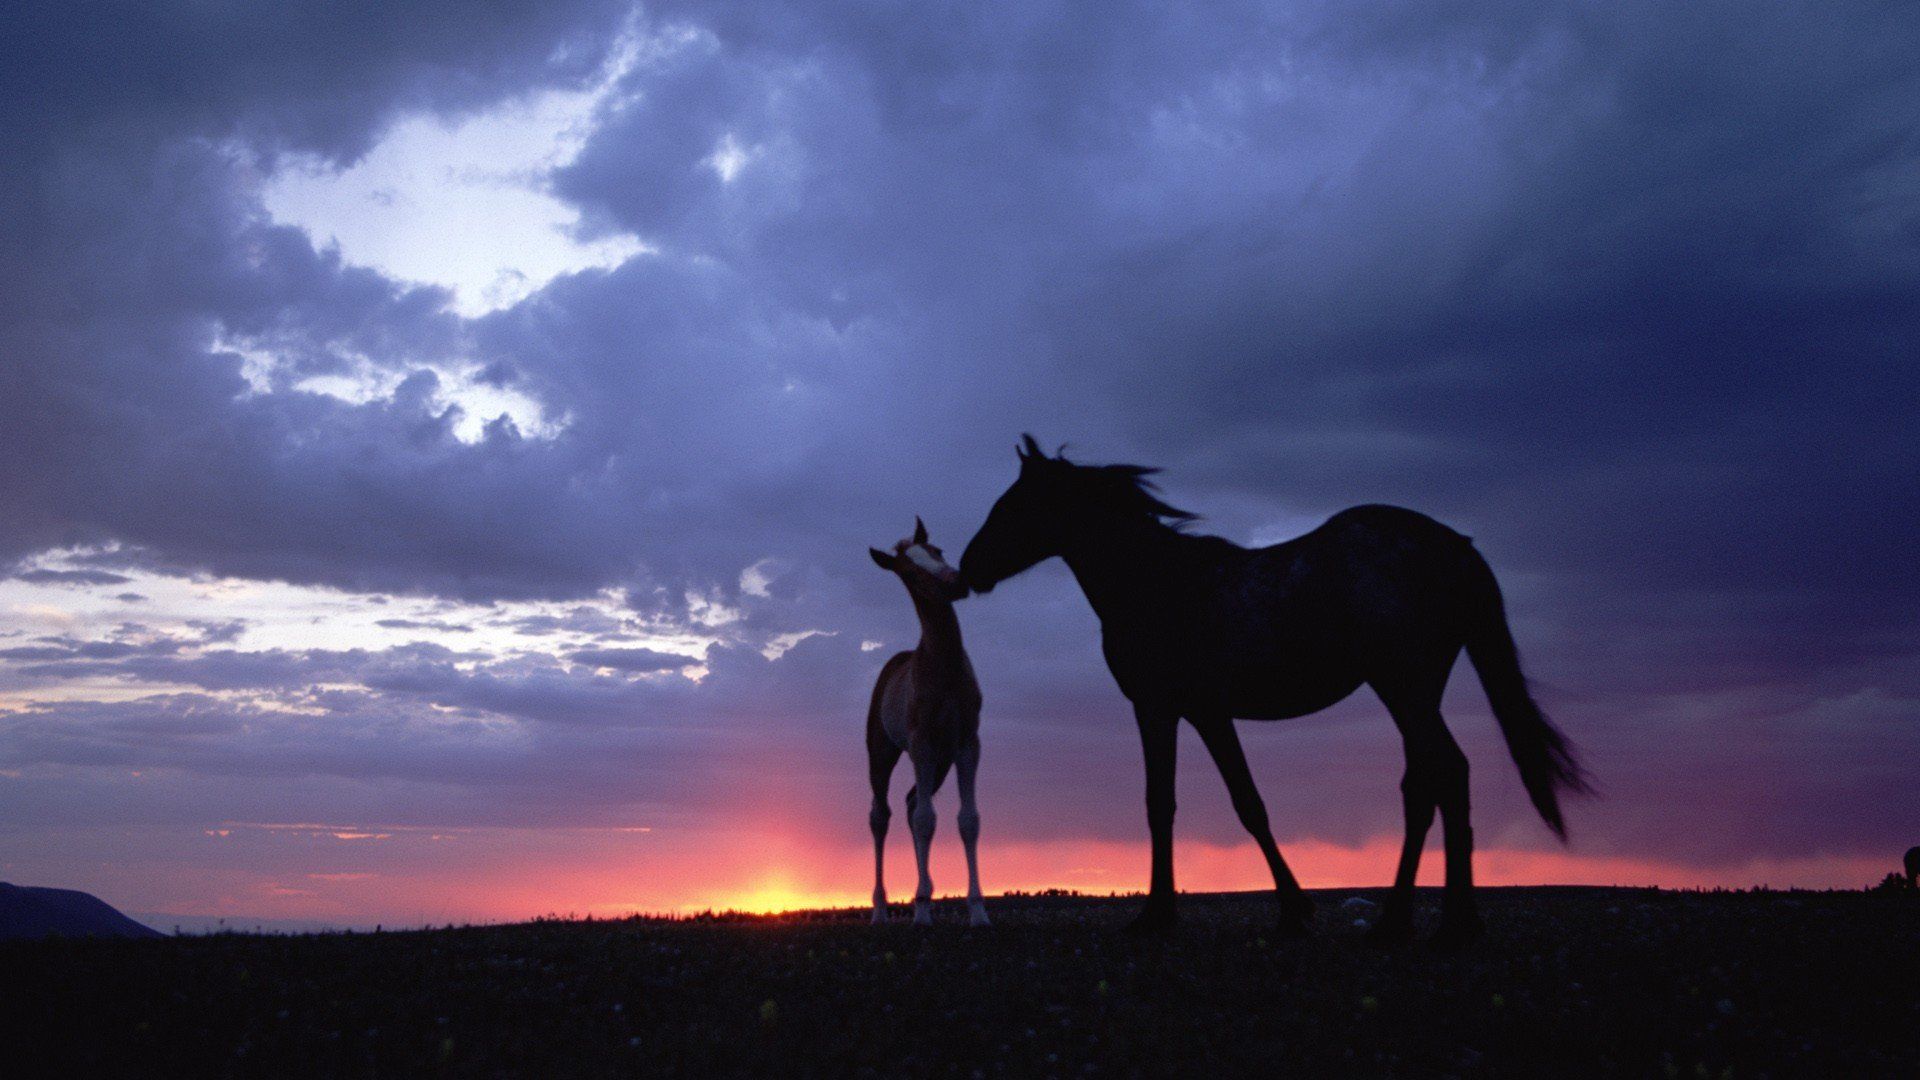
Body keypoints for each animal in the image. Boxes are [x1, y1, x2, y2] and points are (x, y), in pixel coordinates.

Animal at [866, 517, 990, 927]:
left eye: (938, 551)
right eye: (909, 572)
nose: (956, 582)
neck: (944, 667)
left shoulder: (967, 743)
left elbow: (967, 820)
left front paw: (978, 911)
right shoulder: (920, 742)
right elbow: (924, 819)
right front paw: (920, 914)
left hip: (940, 760)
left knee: (910, 802)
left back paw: (926, 894)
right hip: (883, 752)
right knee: (882, 815)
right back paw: (882, 910)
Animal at [959, 436, 1589, 945]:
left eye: (1013, 504)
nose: (968, 567)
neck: (1155, 582)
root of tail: (1455, 545)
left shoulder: (1157, 709)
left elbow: (1161, 804)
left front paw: (1158, 917)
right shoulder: (1207, 714)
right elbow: (1249, 805)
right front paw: (1291, 911)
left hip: (1403, 687)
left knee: (1447, 774)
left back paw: (1441, 924)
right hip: (1416, 692)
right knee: (1425, 784)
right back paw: (1410, 922)